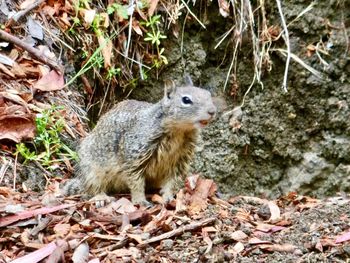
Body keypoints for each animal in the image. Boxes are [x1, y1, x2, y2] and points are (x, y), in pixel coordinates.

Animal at [63, 75, 216, 206]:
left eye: (208, 94)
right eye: (186, 100)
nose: (212, 111)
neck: (180, 131)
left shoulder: (180, 160)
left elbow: (172, 181)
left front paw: (168, 197)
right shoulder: (135, 154)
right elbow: (135, 181)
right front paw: (140, 200)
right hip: (92, 170)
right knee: (91, 188)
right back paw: (101, 197)